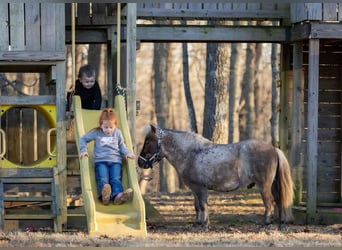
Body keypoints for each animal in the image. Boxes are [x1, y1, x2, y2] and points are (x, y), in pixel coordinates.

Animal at [138, 124, 294, 230]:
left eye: (148, 142)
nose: (140, 162)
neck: (191, 154)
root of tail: (274, 149)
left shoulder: (200, 188)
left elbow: (203, 205)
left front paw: (204, 225)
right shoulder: (195, 190)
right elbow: (197, 206)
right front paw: (198, 223)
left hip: (264, 186)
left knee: (269, 202)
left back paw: (265, 223)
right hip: (272, 185)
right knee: (279, 200)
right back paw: (281, 223)